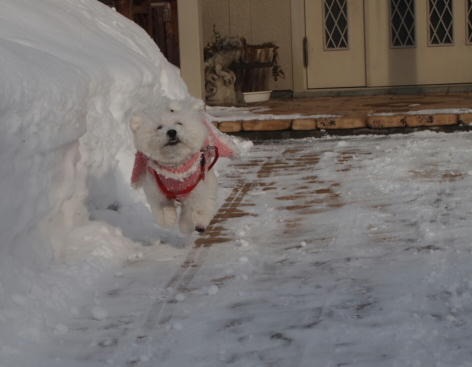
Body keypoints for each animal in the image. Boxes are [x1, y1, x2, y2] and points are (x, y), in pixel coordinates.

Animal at [130, 98, 236, 233]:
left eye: (179, 123)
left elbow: (193, 209)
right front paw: (168, 220)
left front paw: (188, 225)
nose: (171, 132)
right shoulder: (156, 190)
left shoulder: (197, 188)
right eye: (159, 127)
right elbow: (163, 209)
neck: (176, 170)